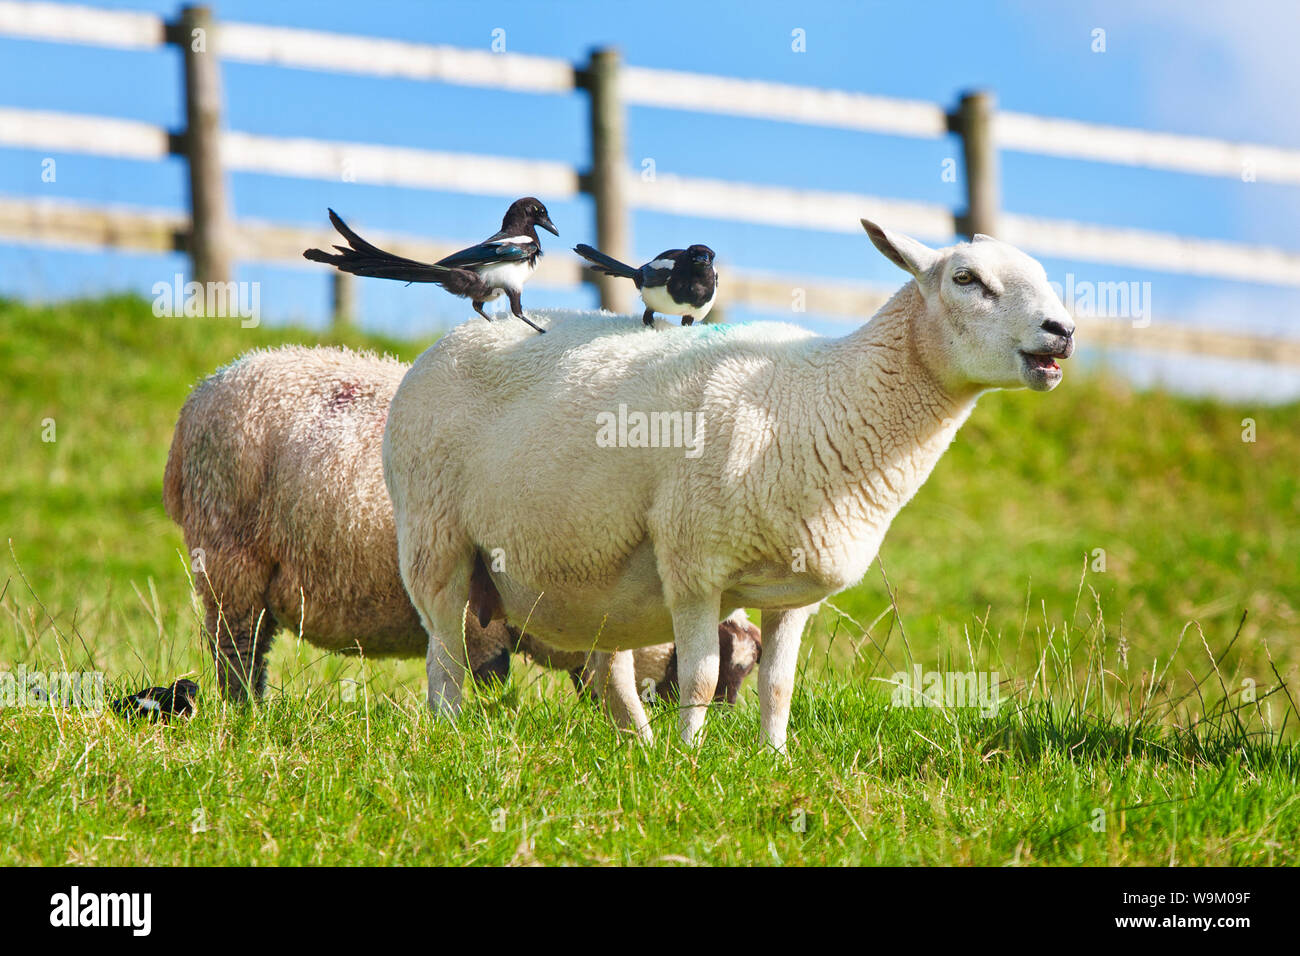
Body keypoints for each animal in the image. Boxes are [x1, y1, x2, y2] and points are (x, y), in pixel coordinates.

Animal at [162, 346, 760, 723]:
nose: (723, 738)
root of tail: (201, 392)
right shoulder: (483, 620)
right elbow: (494, 680)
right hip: (231, 559)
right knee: (237, 652)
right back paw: (247, 713)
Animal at [382, 221, 1076, 751]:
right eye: (966, 279)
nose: (1062, 331)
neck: (823, 396)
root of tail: (458, 334)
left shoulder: (794, 590)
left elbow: (778, 686)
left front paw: (774, 759)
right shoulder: (695, 565)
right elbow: (701, 679)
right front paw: (690, 762)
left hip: (593, 573)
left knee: (608, 669)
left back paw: (639, 745)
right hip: (434, 537)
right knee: (444, 651)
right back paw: (449, 733)